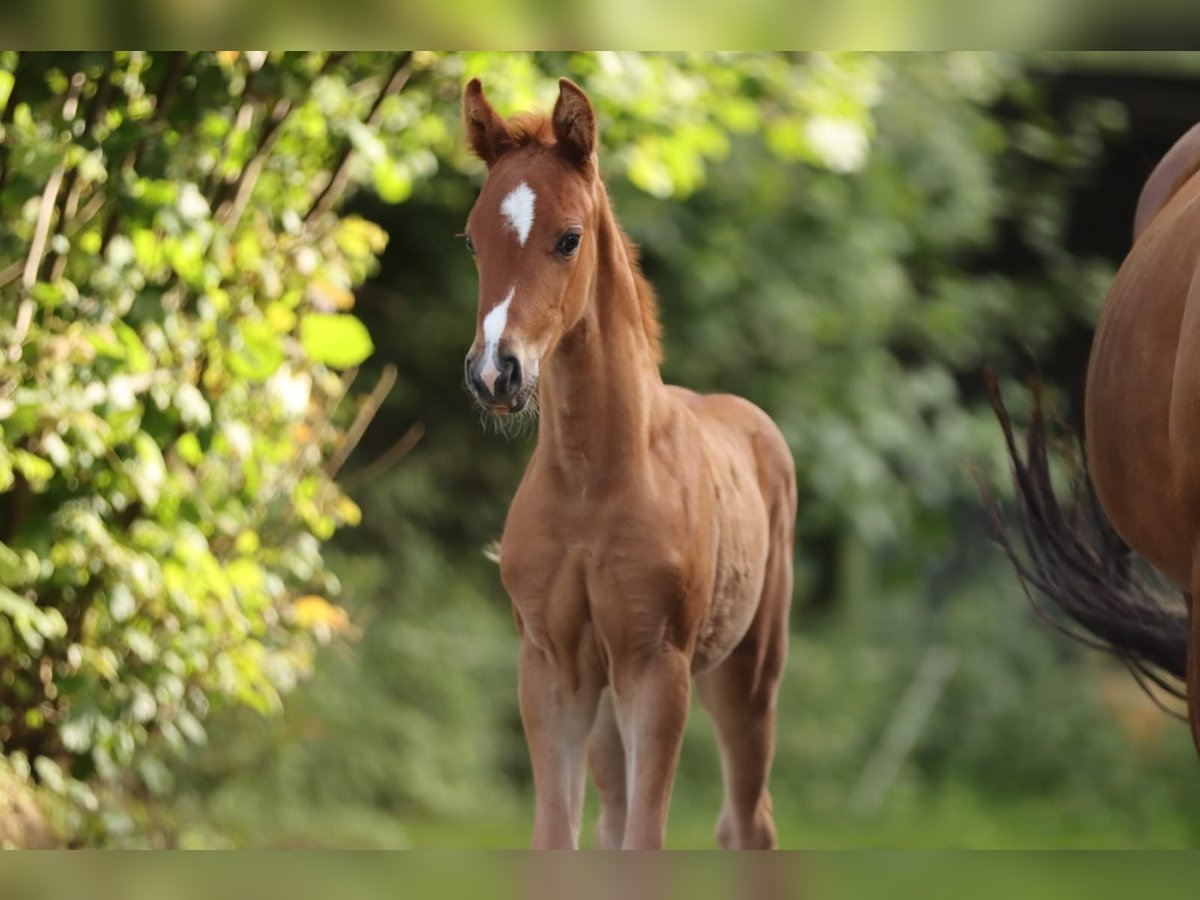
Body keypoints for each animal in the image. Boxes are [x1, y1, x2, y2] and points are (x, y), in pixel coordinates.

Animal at [458, 79, 796, 854]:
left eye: (568, 237)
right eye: (471, 238)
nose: (495, 374)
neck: (592, 479)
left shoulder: (655, 665)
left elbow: (647, 841)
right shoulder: (552, 667)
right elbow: (559, 840)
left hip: (748, 674)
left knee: (748, 823)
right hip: (609, 698)